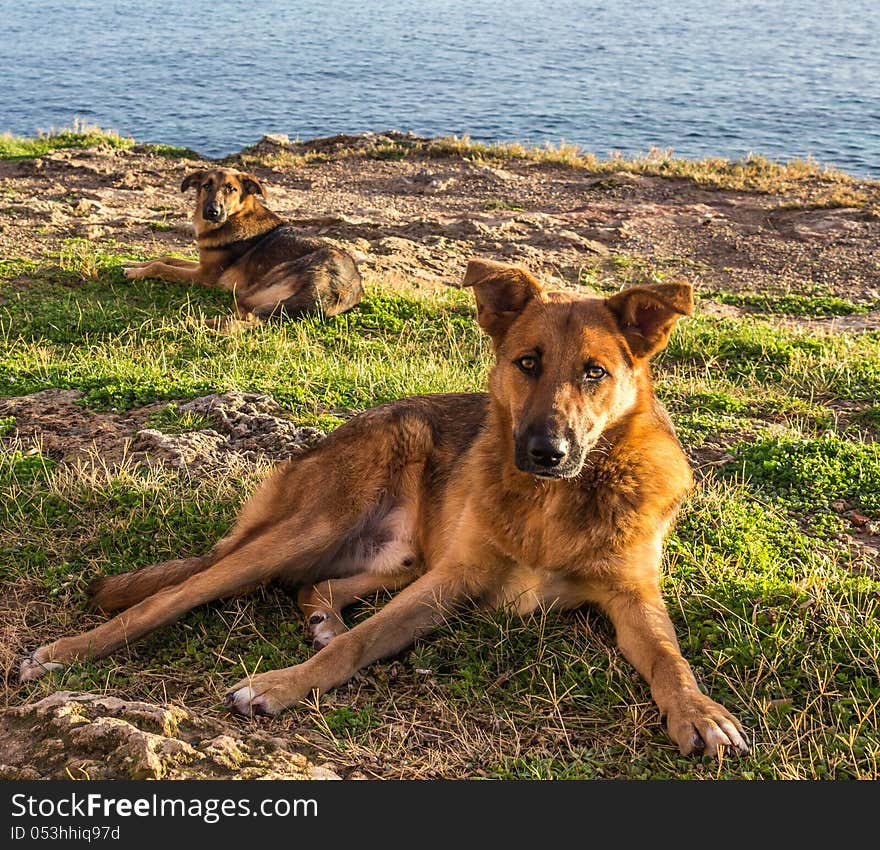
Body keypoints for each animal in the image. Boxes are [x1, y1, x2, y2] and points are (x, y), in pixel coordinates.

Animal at [18, 258, 748, 756]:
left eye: (595, 371)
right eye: (527, 362)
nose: (545, 451)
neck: (555, 501)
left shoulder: (631, 595)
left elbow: (669, 657)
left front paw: (700, 712)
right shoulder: (452, 580)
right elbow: (363, 641)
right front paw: (280, 685)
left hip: (400, 559)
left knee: (315, 584)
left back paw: (321, 618)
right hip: (317, 526)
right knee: (175, 594)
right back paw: (69, 650)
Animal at [122, 167, 362, 320]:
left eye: (231, 189)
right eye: (206, 185)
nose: (212, 212)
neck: (235, 217)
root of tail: (343, 287)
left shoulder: (205, 276)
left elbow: (162, 267)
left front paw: (135, 272)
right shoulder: (202, 264)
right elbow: (167, 258)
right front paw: (132, 264)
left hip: (256, 289)